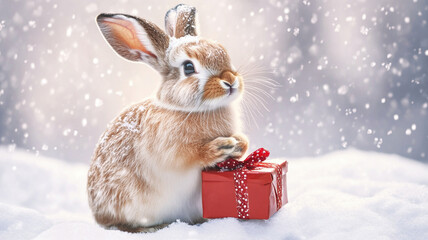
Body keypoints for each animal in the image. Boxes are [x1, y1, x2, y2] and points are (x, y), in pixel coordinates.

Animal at [86, 3, 247, 232]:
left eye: (223, 51)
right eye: (188, 67)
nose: (230, 81)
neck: (188, 109)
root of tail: (98, 214)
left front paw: (240, 145)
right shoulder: (170, 151)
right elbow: (189, 156)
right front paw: (219, 148)